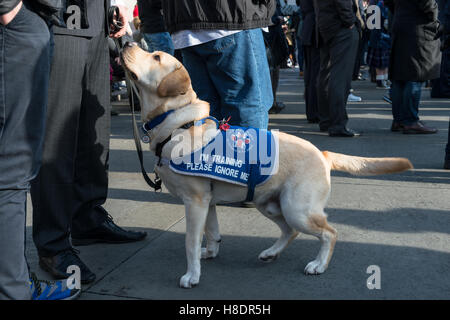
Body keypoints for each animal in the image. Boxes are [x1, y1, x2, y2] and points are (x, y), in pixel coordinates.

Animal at [120, 43, 414, 288]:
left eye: (156, 57)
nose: (125, 42)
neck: (177, 124)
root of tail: (323, 153)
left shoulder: (195, 201)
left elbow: (190, 241)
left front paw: (192, 275)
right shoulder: (208, 201)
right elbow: (212, 232)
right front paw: (211, 253)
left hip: (297, 209)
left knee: (329, 232)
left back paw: (318, 264)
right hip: (270, 204)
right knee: (290, 231)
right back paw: (271, 252)